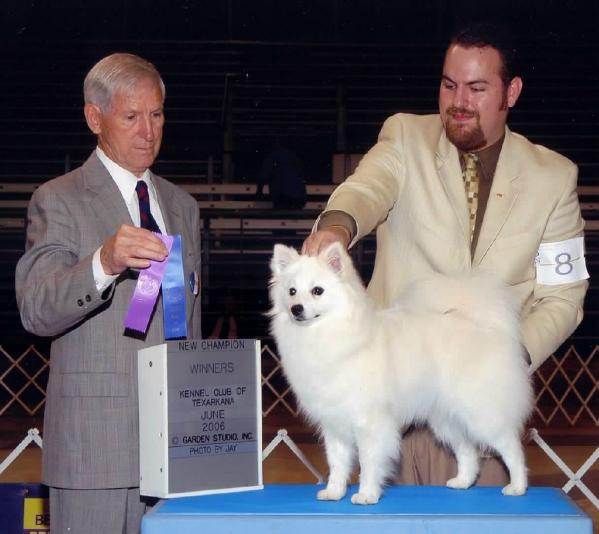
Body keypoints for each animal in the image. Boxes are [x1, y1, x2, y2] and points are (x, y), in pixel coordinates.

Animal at [270, 243, 532, 506]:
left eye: (317, 291)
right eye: (292, 291)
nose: (296, 309)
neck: (327, 333)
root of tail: (484, 326)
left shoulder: (370, 423)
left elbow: (368, 462)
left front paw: (366, 494)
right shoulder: (334, 423)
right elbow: (337, 463)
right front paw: (334, 492)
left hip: (481, 414)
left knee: (512, 449)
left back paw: (517, 487)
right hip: (446, 418)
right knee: (467, 450)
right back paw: (462, 482)